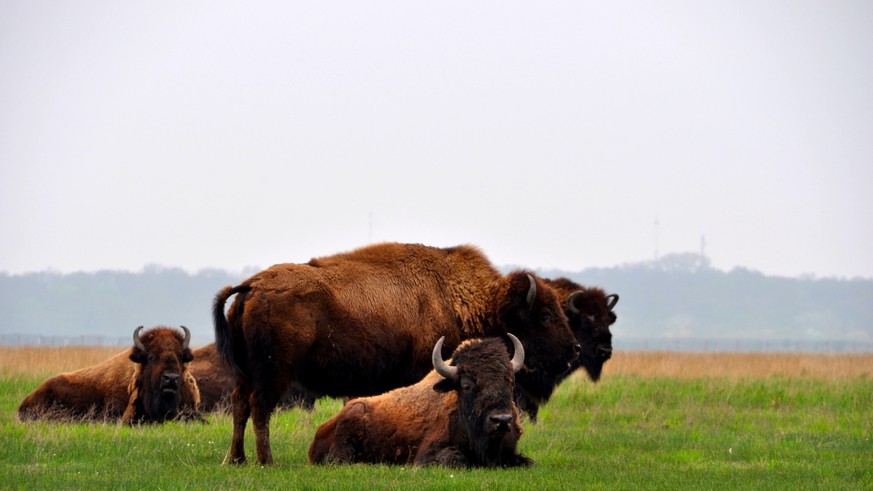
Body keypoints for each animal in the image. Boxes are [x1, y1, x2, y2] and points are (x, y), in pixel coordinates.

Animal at [310, 334, 528, 468]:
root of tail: (320, 430)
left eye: (510, 381)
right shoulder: (426, 455)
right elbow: (454, 459)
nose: (501, 420)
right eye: (466, 385)